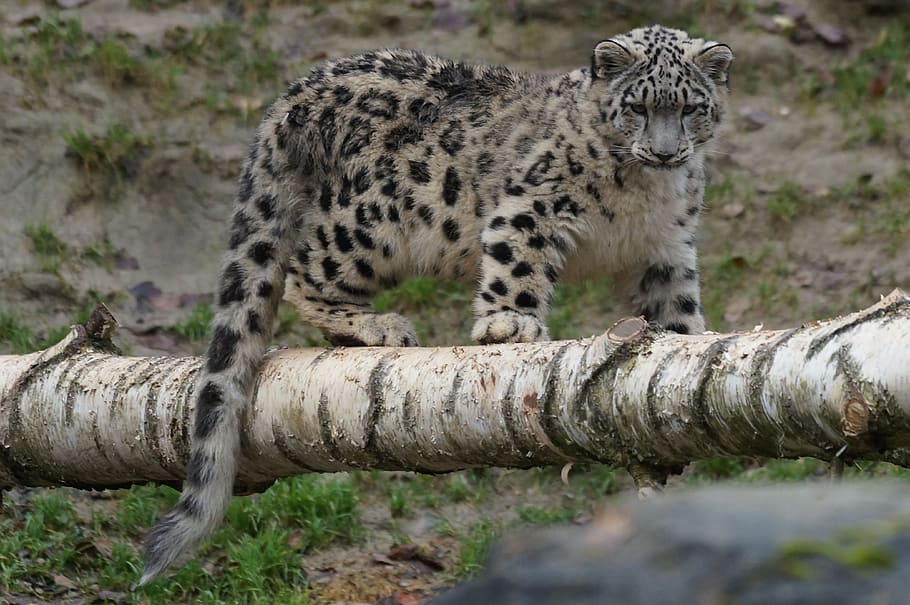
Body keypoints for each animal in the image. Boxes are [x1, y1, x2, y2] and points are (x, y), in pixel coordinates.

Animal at [141, 24, 733, 582]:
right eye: (638, 107)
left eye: (690, 107)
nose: (665, 151)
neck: (645, 195)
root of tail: (296, 95)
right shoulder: (530, 207)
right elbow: (516, 264)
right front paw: (509, 326)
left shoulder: (666, 249)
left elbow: (676, 303)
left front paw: (686, 343)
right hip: (373, 221)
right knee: (303, 269)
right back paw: (375, 325)